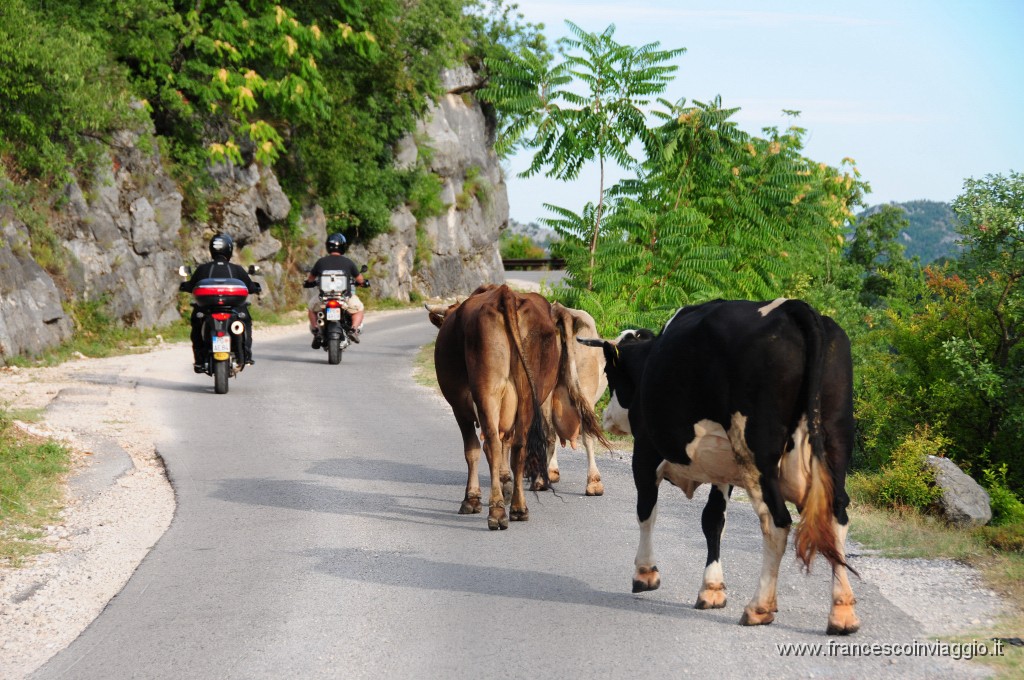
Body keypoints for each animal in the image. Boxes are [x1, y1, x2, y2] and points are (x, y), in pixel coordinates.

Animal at [425, 284, 602, 528]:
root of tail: (504, 294)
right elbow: (507, 443)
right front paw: (506, 483)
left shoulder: (459, 406)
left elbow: (473, 450)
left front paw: (473, 498)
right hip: (533, 392)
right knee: (522, 445)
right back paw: (521, 506)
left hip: (487, 392)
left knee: (491, 444)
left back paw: (497, 511)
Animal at [581, 301, 860, 634]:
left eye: (609, 372)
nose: (608, 418)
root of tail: (794, 308)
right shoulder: (722, 469)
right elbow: (712, 520)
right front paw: (712, 589)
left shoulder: (646, 452)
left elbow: (646, 510)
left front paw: (645, 573)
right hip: (834, 444)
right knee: (836, 517)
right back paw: (842, 612)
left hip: (758, 455)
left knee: (777, 521)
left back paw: (759, 607)